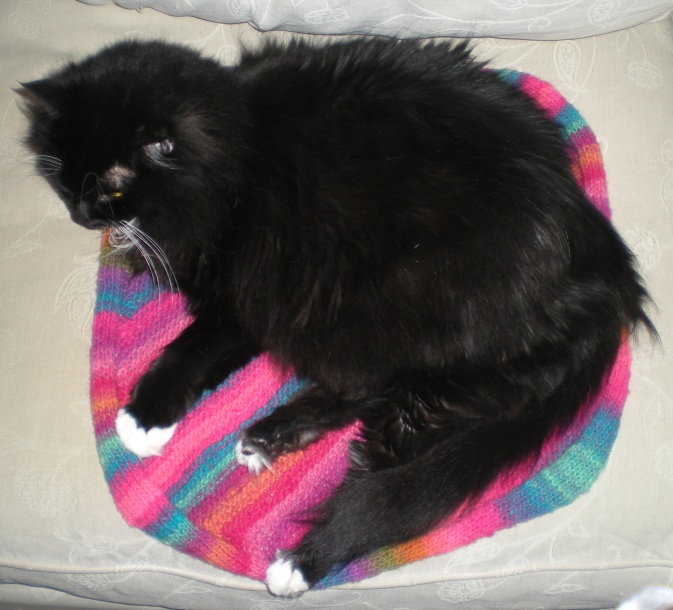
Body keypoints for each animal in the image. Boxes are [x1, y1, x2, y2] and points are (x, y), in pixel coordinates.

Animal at [21, 38, 652, 592]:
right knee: (372, 393)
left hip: (383, 307)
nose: (81, 216)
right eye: (63, 178)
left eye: (111, 188)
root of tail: (601, 273)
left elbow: (188, 349)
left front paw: (141, 419)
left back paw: (302, 523)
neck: (234, 144)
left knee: (389, 434)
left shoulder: (241, 298)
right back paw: (268, 439)